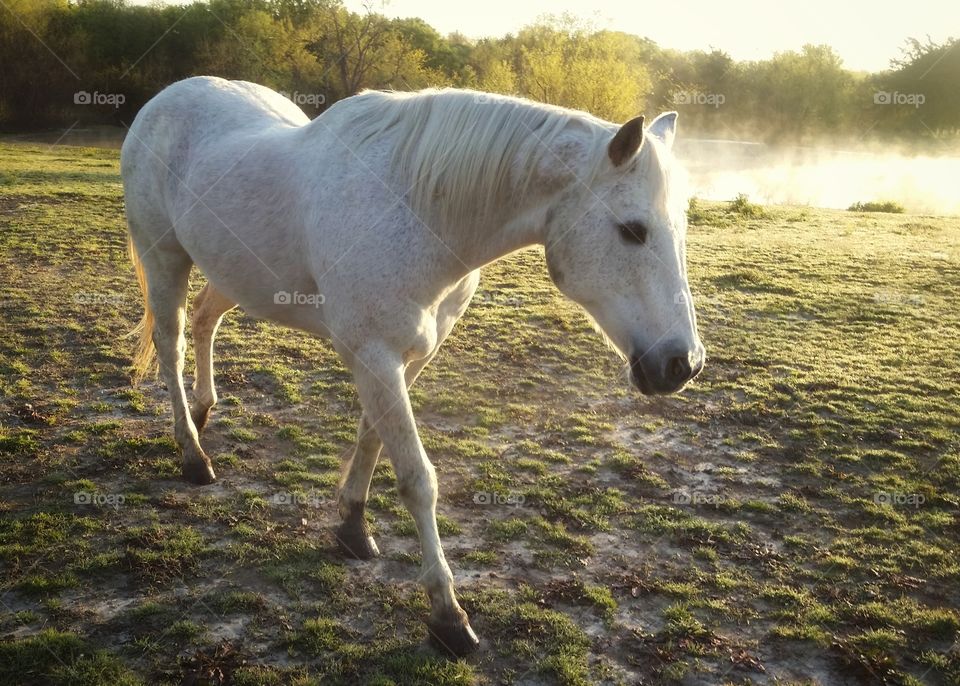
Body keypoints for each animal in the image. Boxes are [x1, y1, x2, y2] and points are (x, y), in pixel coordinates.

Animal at [120, 78, 704, 660]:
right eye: (633, 230)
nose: (683, 364)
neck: (418, 210)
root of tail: (168, 96)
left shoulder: (408, 355)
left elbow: (373, 439)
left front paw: (352, 526)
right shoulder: (375, 354)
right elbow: (418, 479)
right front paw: (448, 616)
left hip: (233, 273)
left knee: (205, 320)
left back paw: (203, 412)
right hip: (164, 257)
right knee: (172, 343)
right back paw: (192, 454)